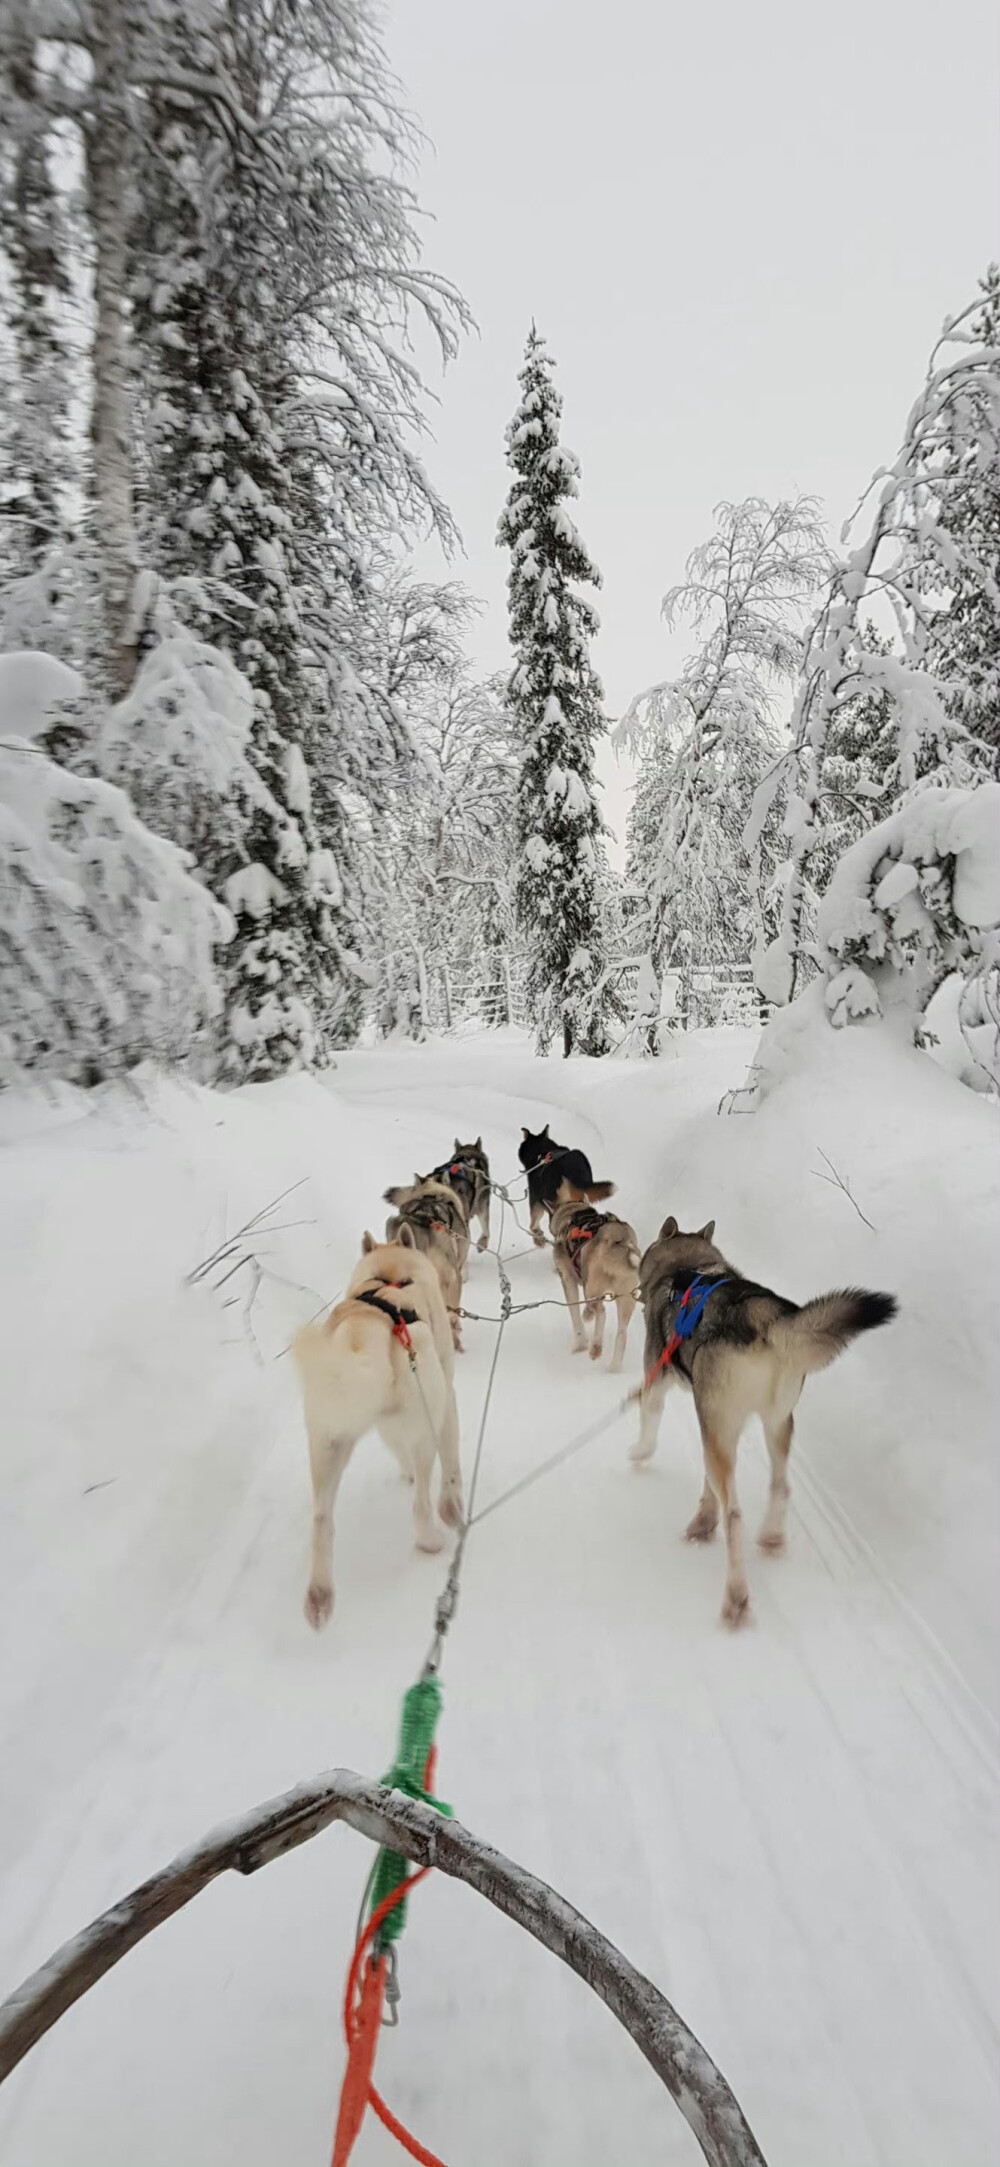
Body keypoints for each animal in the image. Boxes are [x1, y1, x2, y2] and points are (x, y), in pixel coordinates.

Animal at [288, 1230, 459, 1629]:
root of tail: (365, 1329)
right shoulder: (445, 1401)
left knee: (322, 1520)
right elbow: (451, 1463)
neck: (388, 1276)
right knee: (421, 1505)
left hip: (326, 1446)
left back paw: (319, 1595)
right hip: (424, 1426)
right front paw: (454, 1506)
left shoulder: (388, 1426)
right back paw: (431, 1540)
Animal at [546, 1187, 637, 1369]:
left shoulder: (568, 1279)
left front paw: (580, 1344)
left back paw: (595, 1347)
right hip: (625, 1297)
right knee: (622, 1332)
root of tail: (619, 1239)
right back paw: (614, 1368)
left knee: (601, 1311)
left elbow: (575, 1316)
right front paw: (587, 1315)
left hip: (591, 1287)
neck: (574, 1212)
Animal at [633, 1222, 893, 1629]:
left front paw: (639, 1454)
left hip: (722, 1428)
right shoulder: (716, 1424)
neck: (687, 1268)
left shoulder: (659, 1380)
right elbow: (710, 1488)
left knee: (736, 1517)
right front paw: (704, 1519)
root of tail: (764, 1319)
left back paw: (736, 1598)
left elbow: (648, 1421)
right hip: (774, 1422)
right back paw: (770, 1537)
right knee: (781, 1486)